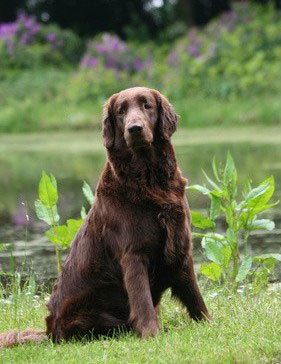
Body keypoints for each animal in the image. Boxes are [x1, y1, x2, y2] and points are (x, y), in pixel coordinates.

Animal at [0, 86, 208, 346]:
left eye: (147, 105)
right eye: (121, 111)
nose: (134, 128)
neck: (149, 180)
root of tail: (50, 333)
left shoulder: (180, 247)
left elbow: (194, 296)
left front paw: (208, 323)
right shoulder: (133, 255)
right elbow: (142, 302)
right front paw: (151, 335)